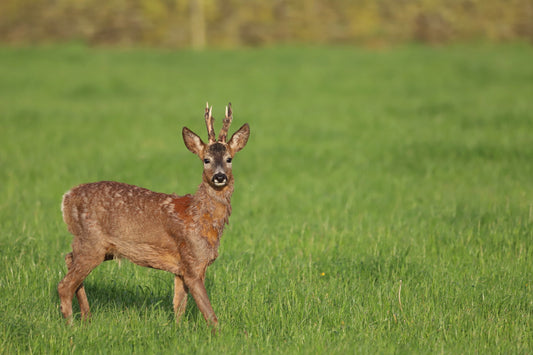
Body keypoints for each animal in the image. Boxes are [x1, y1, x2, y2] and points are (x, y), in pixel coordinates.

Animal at [58, 101, 249, 326]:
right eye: (206, 160)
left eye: (229, 158)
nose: (220, 177)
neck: (200, 217)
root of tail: (67, 198)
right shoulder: (193, 261)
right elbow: (209, 314)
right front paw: (220, 332)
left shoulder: (181, 268)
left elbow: (179, 306)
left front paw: (178, 329)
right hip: (91, 241)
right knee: (64, 285)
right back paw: (71, 325)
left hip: (100, 247)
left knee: (69, 259)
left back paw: (86, 317)